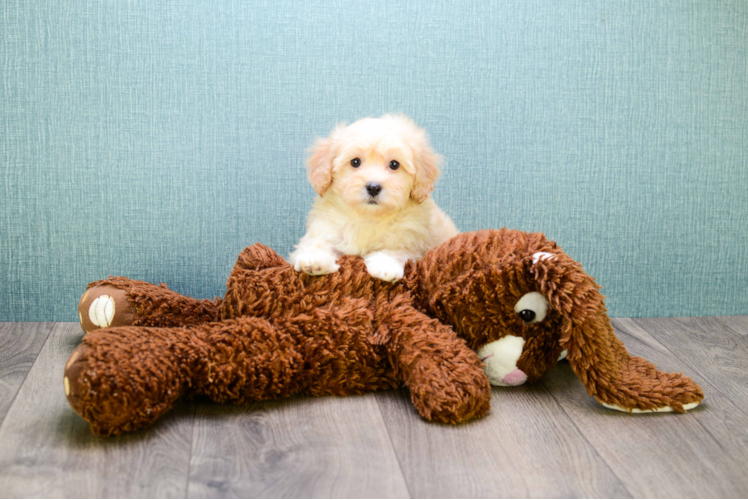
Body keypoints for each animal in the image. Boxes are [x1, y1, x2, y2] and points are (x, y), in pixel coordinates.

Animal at [290, 114, 456, 284]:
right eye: (355, 162)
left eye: (394, 164)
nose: (373, 187)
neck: (368, 216)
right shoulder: (326, 227)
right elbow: (316, 241)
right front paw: (314, 259)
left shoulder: (410, 241)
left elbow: (395, 250)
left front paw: (386, 267)